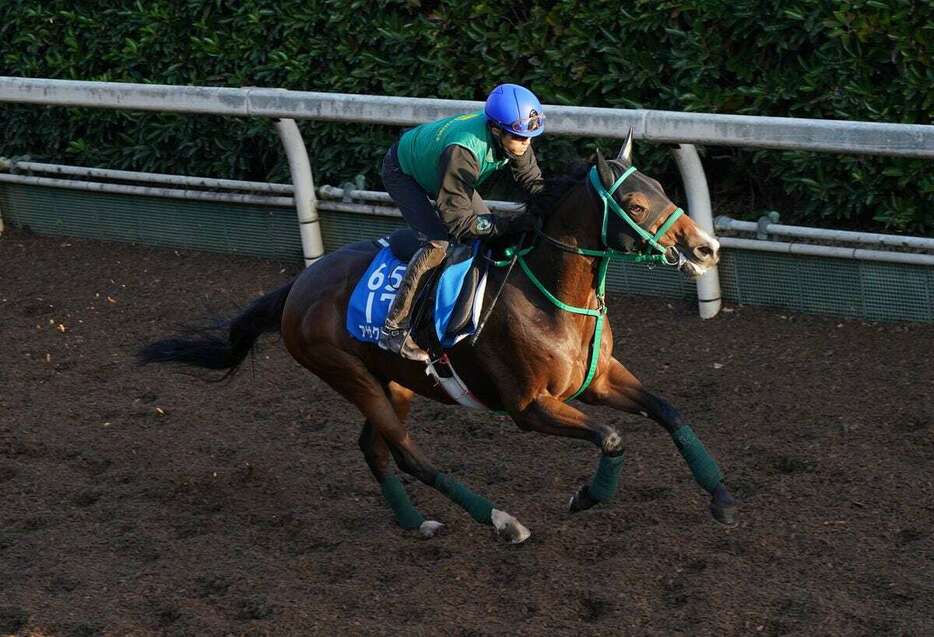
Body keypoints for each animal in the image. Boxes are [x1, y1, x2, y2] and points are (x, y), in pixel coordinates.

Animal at [139, 132, 740, 544]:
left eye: (662, 188)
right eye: (635, 205)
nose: (706, 247)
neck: (549, 296)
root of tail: (297, 287)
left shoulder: (597, 380)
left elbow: (669, 411)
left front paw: (723, 497)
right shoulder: (529, 407)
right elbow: (612, 438)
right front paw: (587, 496)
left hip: (394, 382)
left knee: (373, 448)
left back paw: (414, 522)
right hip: (348, 374)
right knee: (407, 455)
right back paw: (501, 521)